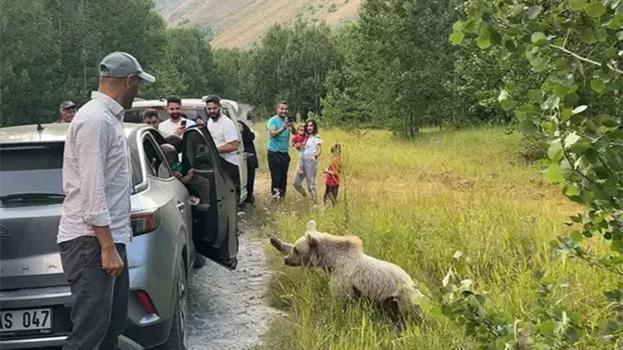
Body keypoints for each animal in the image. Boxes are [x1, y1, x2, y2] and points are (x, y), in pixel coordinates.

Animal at [268, 220, 424, 324]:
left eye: (296, 249)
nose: (286, 260)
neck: (332, 260)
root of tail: (412, 282)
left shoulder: (343, 279)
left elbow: (339, 300)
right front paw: (275, 240)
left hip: (403, 297)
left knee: (411, 314)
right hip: (389, 300)